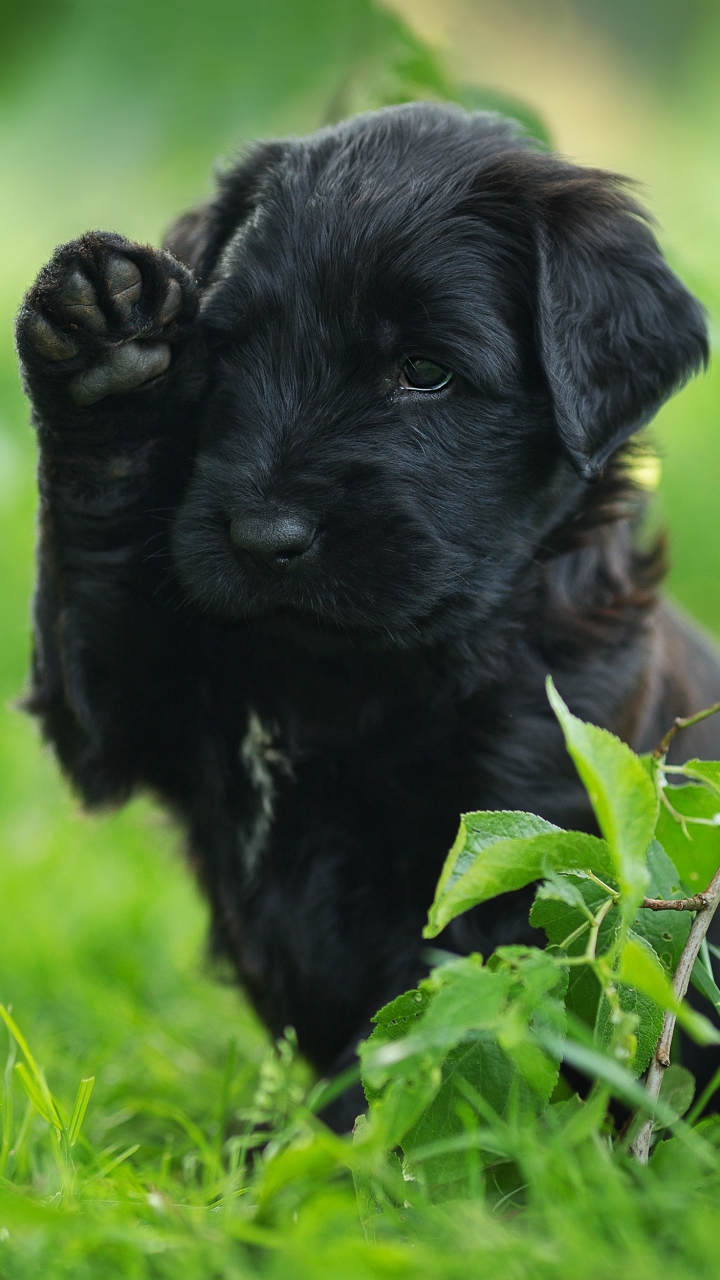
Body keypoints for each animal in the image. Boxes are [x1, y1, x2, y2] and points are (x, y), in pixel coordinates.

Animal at [15, 104, 717, 1126]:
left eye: (424, 371)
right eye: (230, 352)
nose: (263, 539)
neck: (347, 673)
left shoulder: (526, 846)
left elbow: (417, 1037)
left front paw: (304, 1144)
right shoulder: (137, 708)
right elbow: (95, 578)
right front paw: (109, 359)